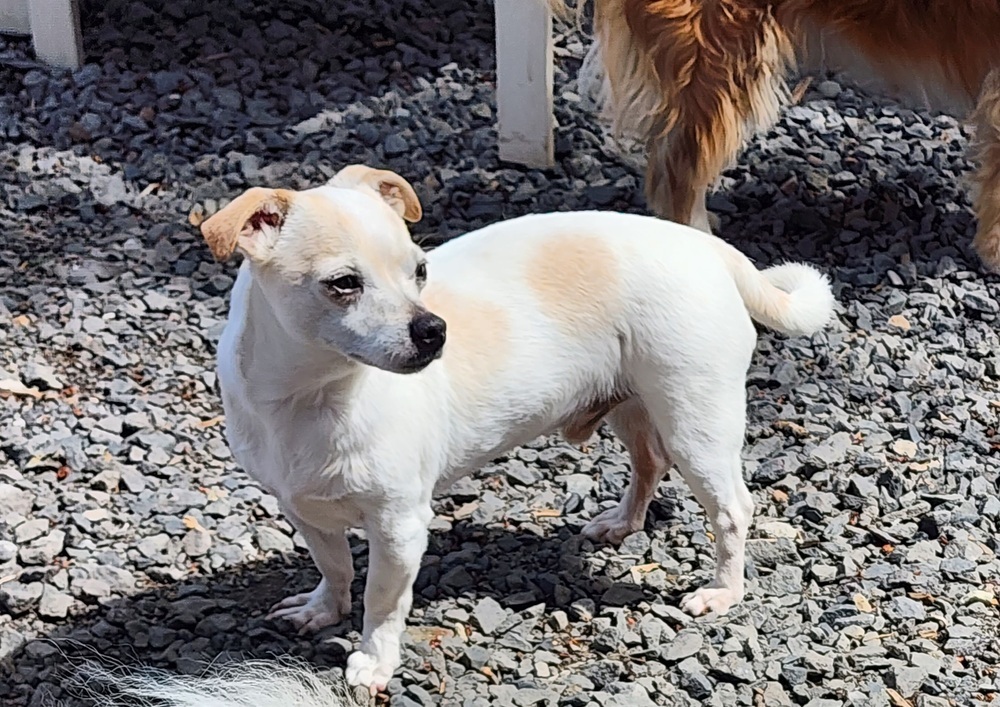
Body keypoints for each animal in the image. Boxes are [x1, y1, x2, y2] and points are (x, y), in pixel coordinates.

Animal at [197, 165, 836, 692]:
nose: (434, 330)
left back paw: (724, 590)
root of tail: (710, 248)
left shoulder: (399, 527)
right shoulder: (303, 511)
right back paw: (620, 524)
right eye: (343, 283)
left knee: (731, 509)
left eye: (419, 271)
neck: (310, 398)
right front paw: (322, 611)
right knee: (648, 464)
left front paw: (374, 662)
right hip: (634, 407)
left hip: (694, 423)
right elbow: (334, 567)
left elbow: (381, 600)